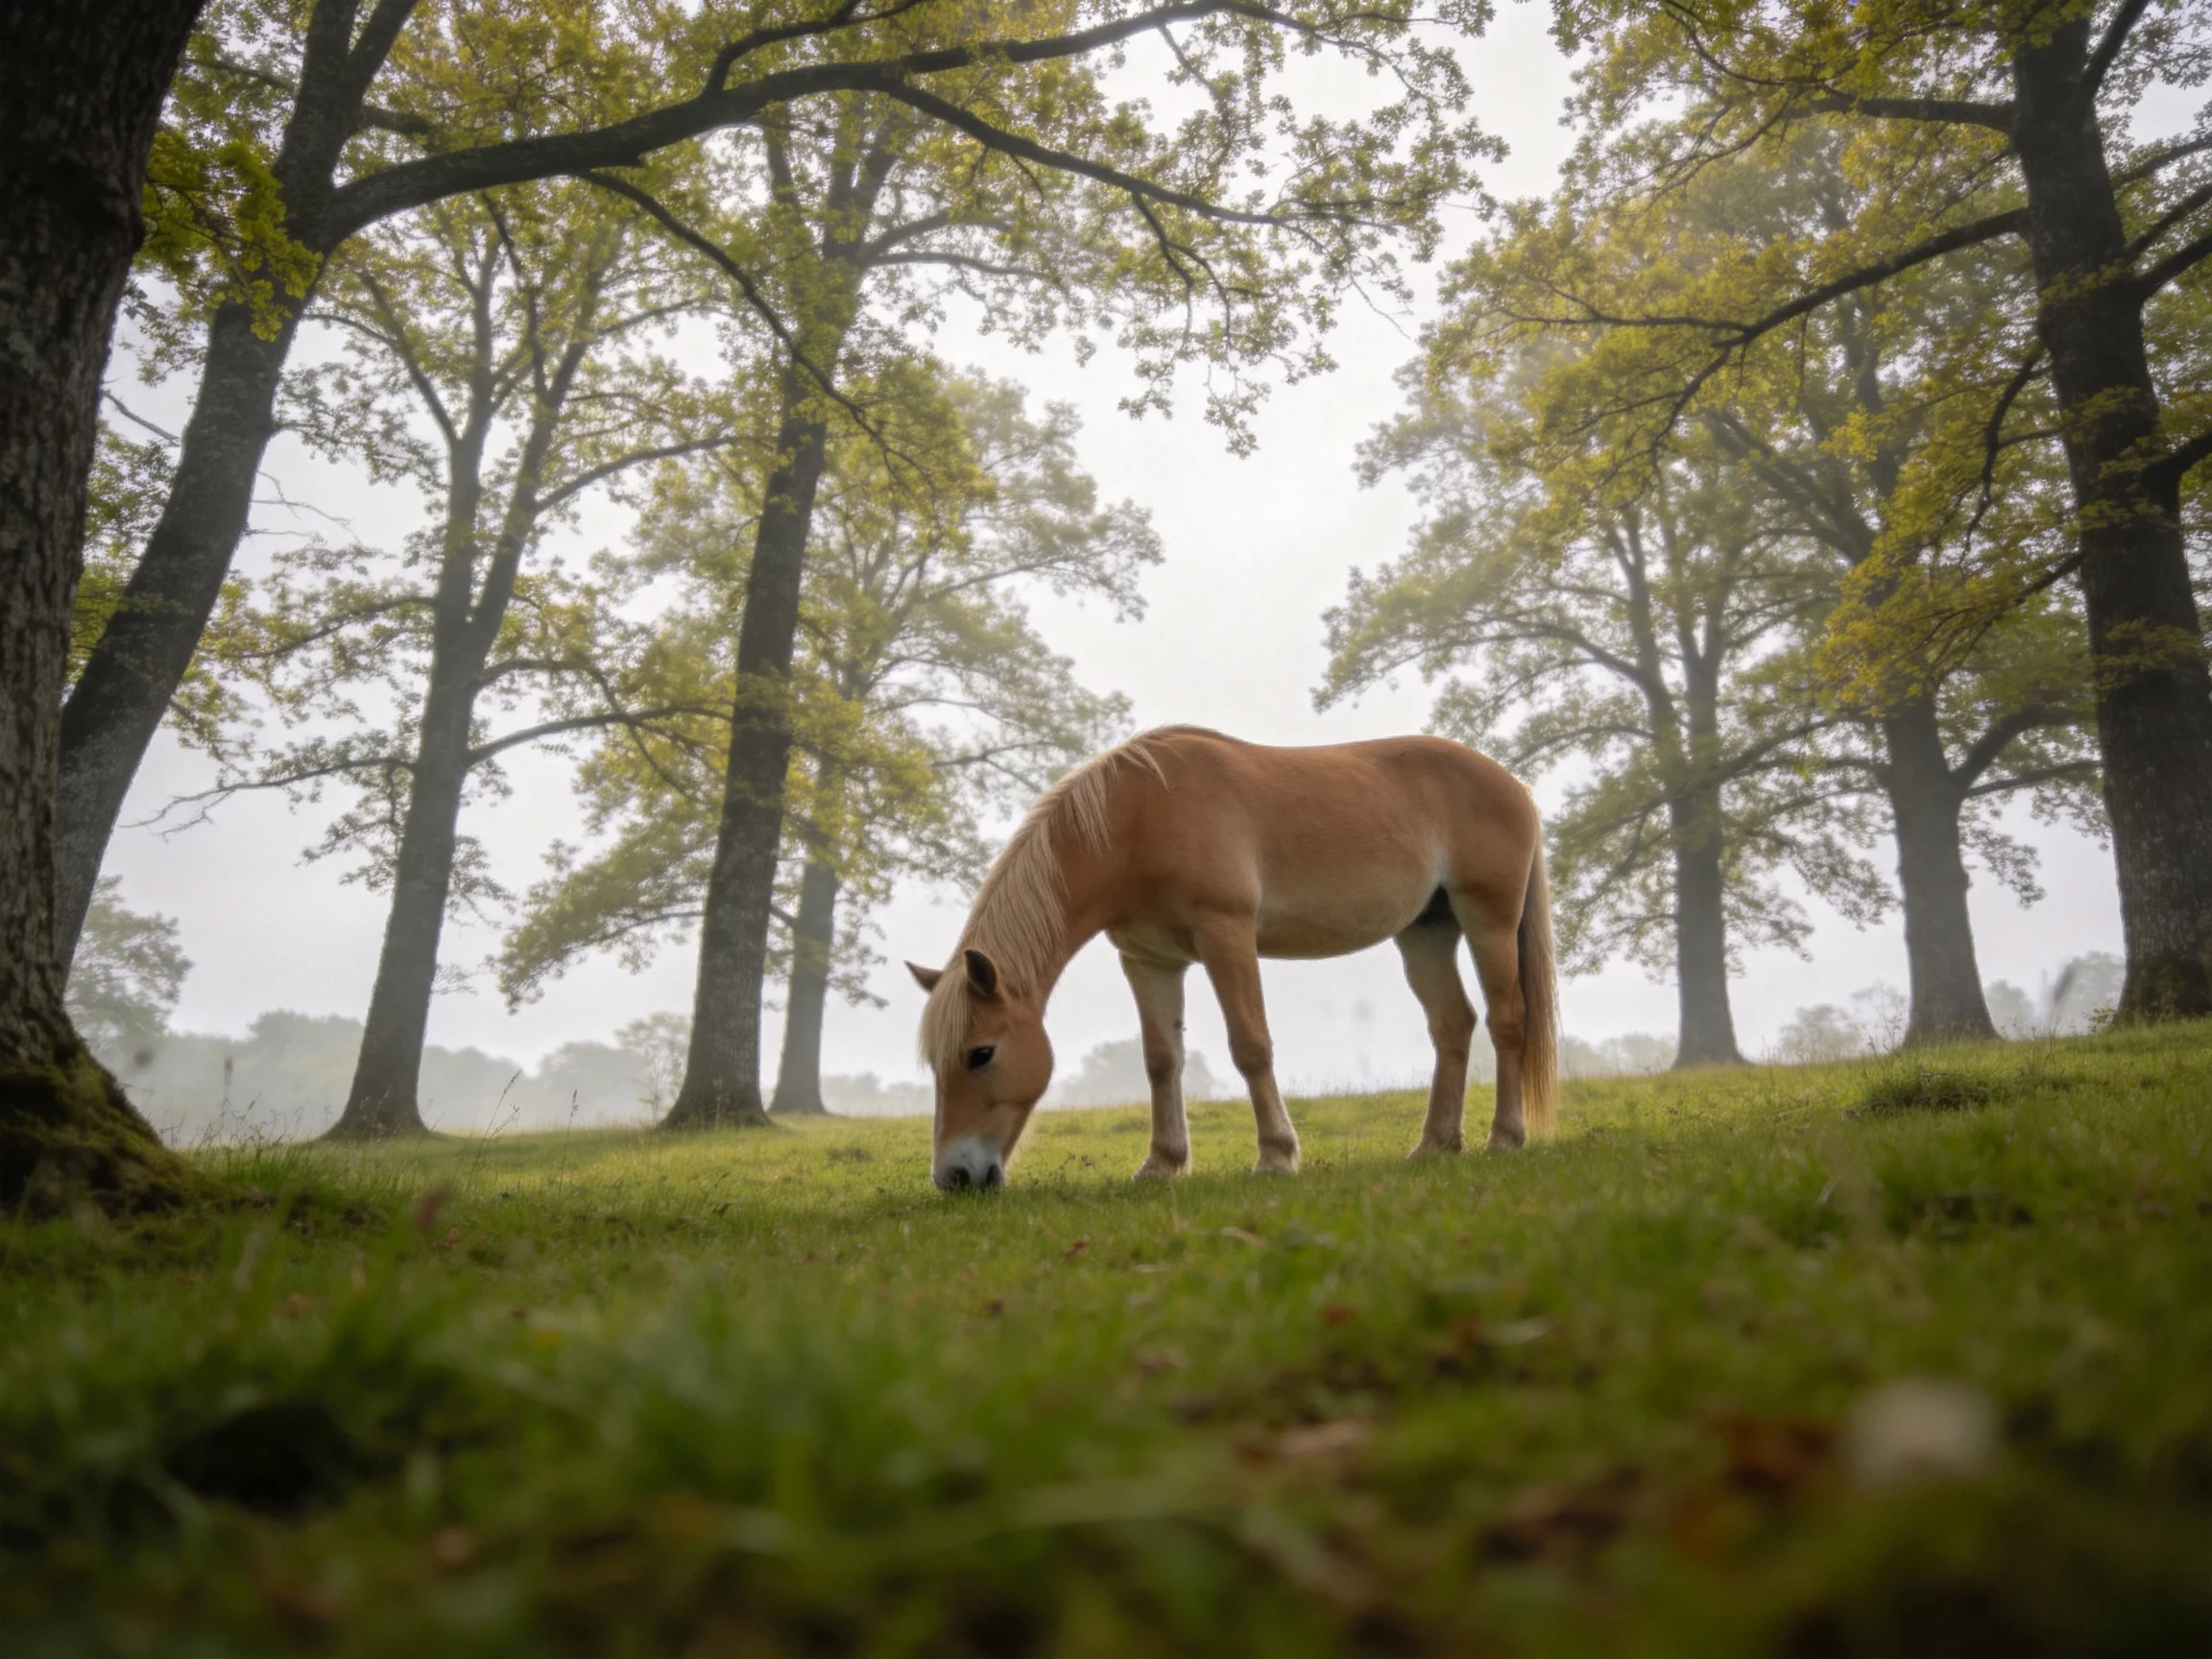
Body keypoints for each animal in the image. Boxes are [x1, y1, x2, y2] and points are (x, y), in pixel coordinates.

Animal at [906, 726, 1558, 1192]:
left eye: (981, 1053)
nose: (954, 1177)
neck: (1135, 819)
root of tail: (1514, 786)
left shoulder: (1226, 935)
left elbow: (1250, 1045)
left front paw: (1276, 1156)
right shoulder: (1147, 960)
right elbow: (1161, 1060)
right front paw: (1162, 1164)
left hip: (1488, 919)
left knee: (1506, 1019)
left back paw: (1505, 1138)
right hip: (1424, 933)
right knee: (1452, 1025)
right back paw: (1434, 1145)